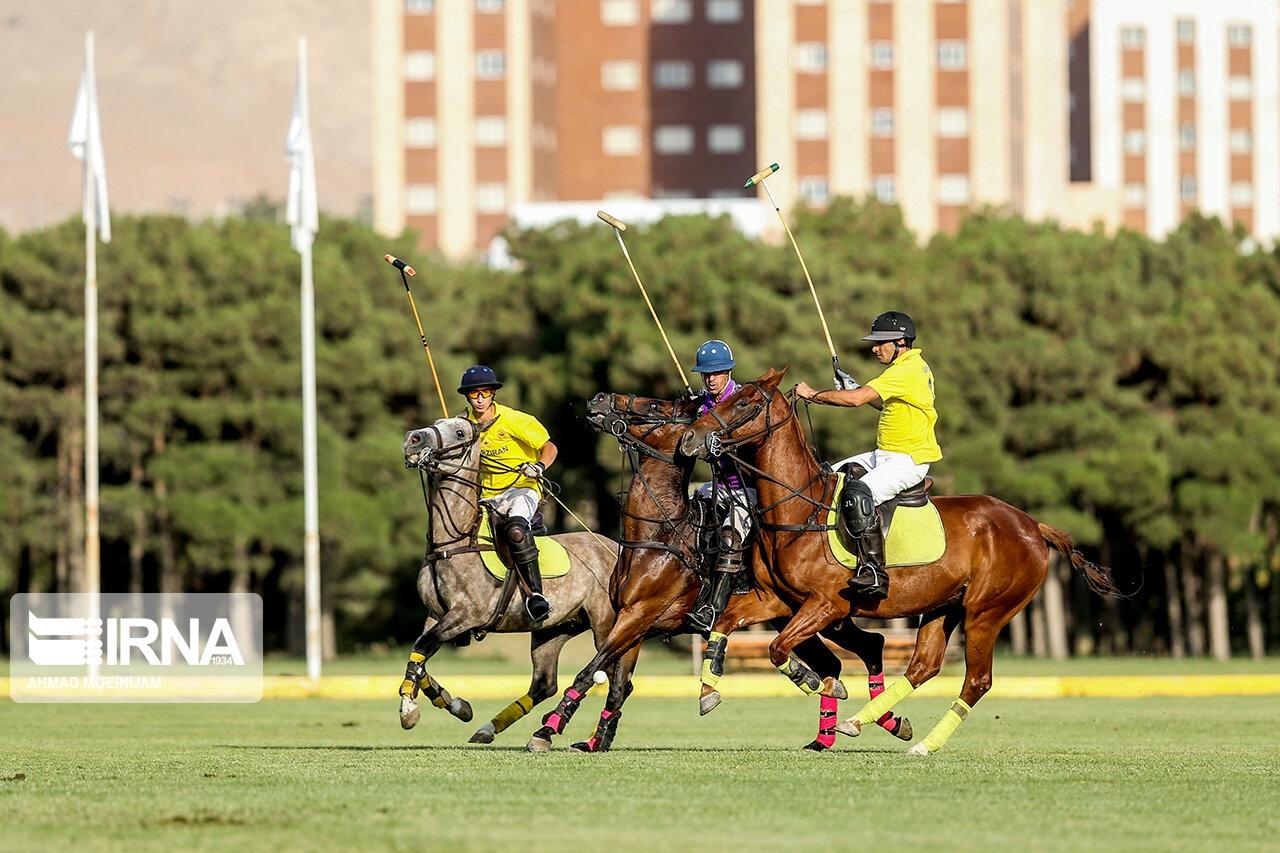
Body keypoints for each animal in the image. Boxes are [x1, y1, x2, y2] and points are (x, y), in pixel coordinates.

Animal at [394, 414, 624, 747]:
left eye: (460, 432)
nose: (413, 439)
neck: (454, 541)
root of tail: (617, 549)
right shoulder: (436, 614)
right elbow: (421, 654)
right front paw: (457, 705)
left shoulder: (466, 614)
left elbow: (422, 646)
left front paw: (409, 711)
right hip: (554, 629)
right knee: (544, 684)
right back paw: (494, 729)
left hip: (605, 622)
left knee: (618, 674)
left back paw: (584, 736)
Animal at [524, 391, 916, 753]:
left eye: (655, 407)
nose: (600, 398)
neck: (656, 535)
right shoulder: (633, 621)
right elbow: (618, 684)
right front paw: (597, 738)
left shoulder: (638, 615)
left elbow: (591, 670)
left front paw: (546, 730)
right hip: (809, 617)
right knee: (854, 652)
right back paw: (869, 725)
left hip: (822, 613)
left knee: (858, 650)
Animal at [680, 368, 1121, 753]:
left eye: (744, 402)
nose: (689, 437)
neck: (798, 509)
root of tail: (1033, 525)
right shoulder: (778, 599)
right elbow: (725, 623)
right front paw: (707, 692)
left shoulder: (827, 604)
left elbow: (777, 648)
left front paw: (817, 682)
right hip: (944, 607)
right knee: (923, 666)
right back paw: (864, 722)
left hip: (987, 611)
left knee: (977, 680)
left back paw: (923, 743)